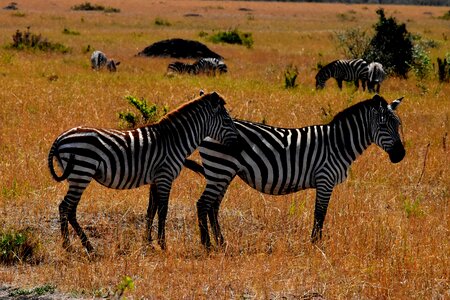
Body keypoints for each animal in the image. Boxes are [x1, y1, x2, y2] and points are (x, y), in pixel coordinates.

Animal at [47, 91, 241, 251]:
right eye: (227, 121)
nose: (238, 146)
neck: (174, 140)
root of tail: (60, 138)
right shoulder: (165, 176)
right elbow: (163, 210)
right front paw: (163, 244)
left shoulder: (156, 179)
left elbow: (151, 210)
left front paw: (147, 242)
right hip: (81, 172)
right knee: (66, 207)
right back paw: (73, 245)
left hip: (77, 175)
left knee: (68, 208)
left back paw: (80, 245)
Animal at [181, 94, 406, 248]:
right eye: (383, 125)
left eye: (398, 124)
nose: (400, 155)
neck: (338, 144)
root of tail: (206, 132)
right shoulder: (325, 179)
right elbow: (320, 213)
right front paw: (316, 244)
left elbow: (320, 214)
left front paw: (315, 242)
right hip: (220, 170)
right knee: (203, 204)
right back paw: (207, 245)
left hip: (223, 173)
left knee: (213, 206)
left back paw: (221, 242)